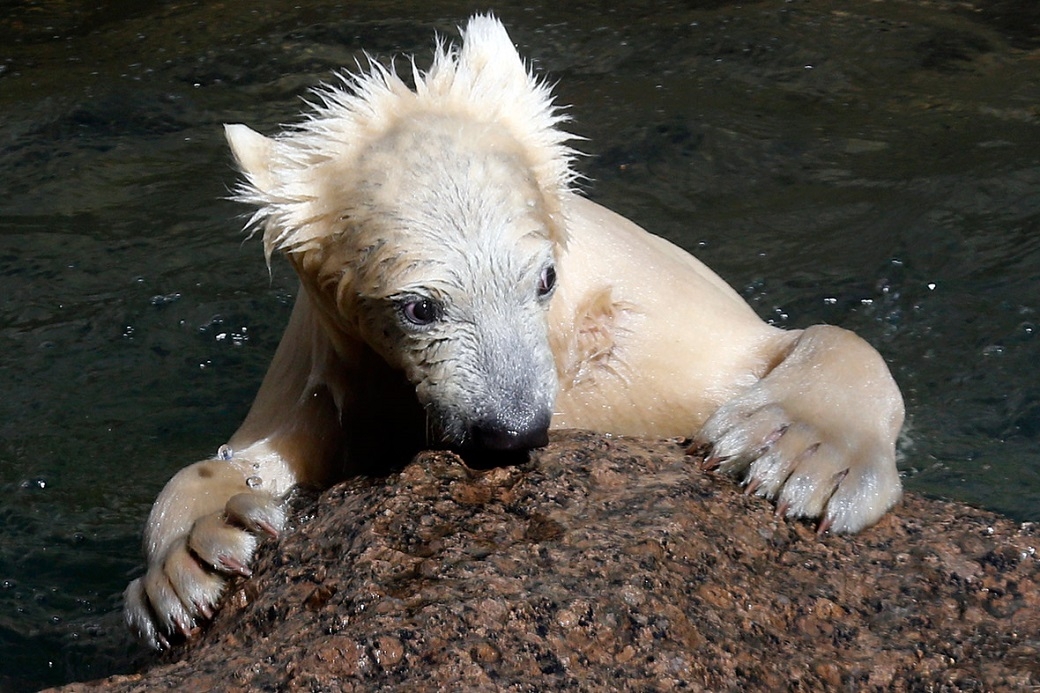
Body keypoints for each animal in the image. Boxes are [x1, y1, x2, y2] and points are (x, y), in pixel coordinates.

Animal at [123, 16, 902, 649]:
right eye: (419, 307)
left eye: (545, 278)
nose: (512, 430)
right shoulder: (335, 368)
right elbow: (252, 455)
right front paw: (198, 552)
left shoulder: (652, 324)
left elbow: (784, 349)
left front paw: (798, 450)